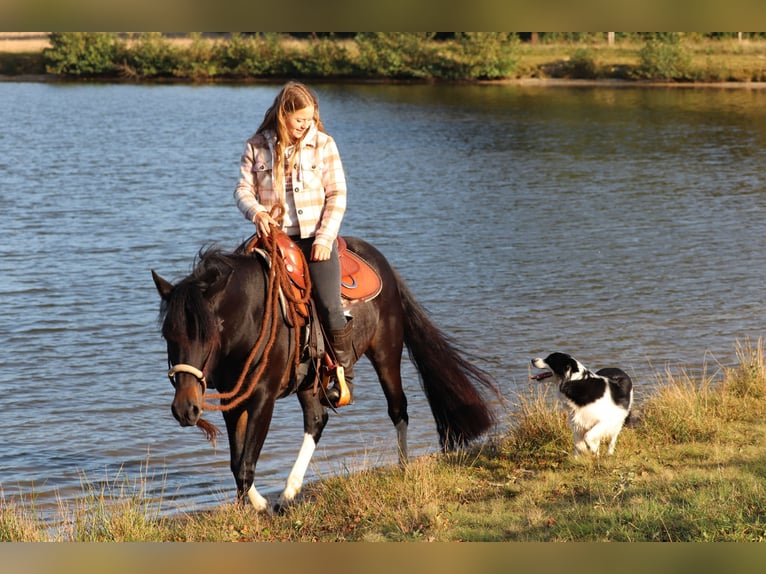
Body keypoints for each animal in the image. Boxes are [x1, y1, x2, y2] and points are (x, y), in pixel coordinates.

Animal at [152, 236, 498, 516]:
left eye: (208, 335)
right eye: (168, 334)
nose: (184, 410)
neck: (251, 317)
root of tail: (381, 262)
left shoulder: (263, 397)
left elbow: (247, 462)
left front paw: (260, 508)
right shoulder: (234, 401)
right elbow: (237, 462)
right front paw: (256, 505)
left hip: (386, 354)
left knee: (398, 409)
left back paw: (401, 467)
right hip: (310, 379)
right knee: (317, 420)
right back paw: (289, 493)